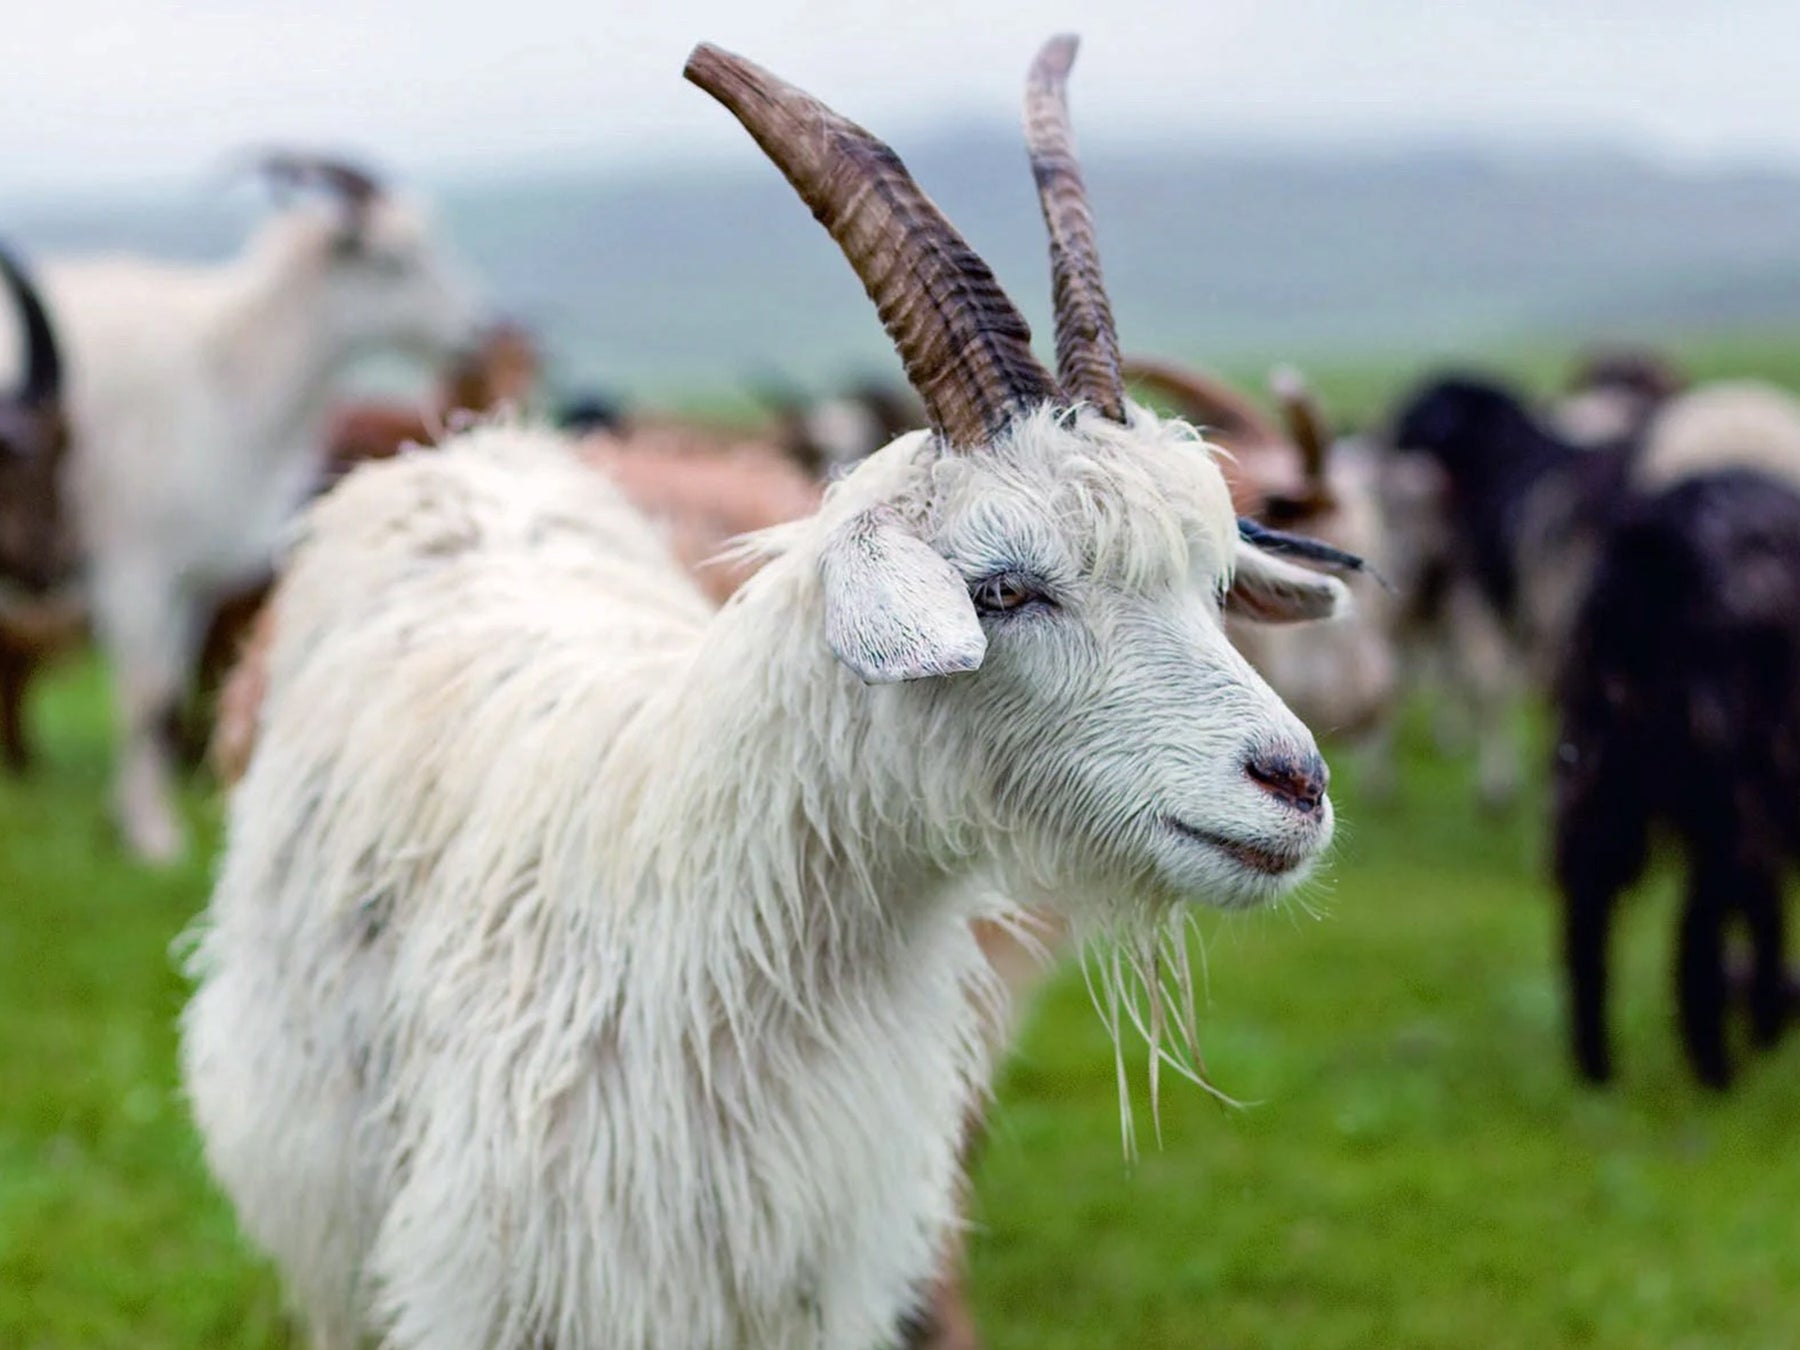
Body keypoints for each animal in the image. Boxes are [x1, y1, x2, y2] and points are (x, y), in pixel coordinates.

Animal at [28, 153, 480, 859]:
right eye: (394, 260)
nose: (471, 333)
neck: (228, 371)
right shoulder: (134, 564)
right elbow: (143, 695)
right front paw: (151, 834)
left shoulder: (190, 578)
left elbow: (165, 696)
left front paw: (133, 815)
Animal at [1554, 469, 1800, 1087]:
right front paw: (1764, 1028)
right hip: (1725, 777)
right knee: (1698, 928)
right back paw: (1716, 1068)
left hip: (1596, 761)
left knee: (1586, 908)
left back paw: (1596, 1070)